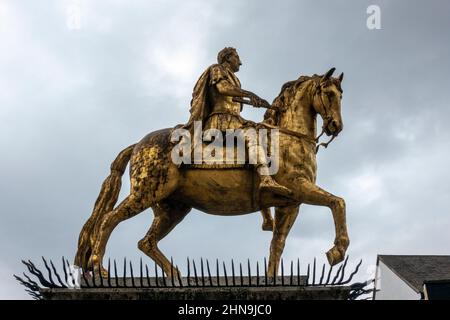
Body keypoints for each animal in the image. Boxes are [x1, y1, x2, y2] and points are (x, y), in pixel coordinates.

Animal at [74, 67, 348, 278]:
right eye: (329, 94)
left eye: (341, 95)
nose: (336, 126)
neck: (289, 137)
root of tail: (138, 145)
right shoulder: (299, 186)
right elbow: (338, 202)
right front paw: (338, 250)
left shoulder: (290, 204)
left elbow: (277, 244)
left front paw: (271, 279)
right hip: (146, 192)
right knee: (109, 220)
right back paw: (98, 268)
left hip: (173, 207)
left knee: (146, 241)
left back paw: (177, 277)